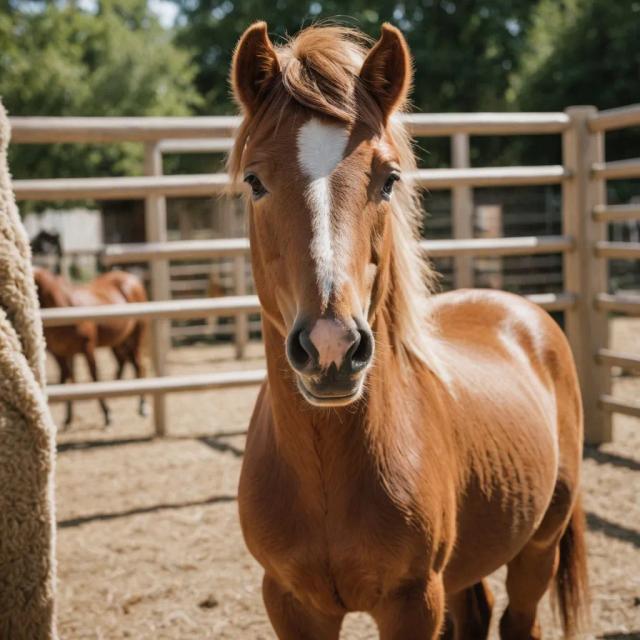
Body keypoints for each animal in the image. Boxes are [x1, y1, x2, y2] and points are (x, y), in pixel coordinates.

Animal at [33, 267, 148, 427]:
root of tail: (132, 278)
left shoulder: (87, 347)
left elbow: (94, 377)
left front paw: (107, 414)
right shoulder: (60, 353)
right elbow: (68, 380)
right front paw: (68, 418)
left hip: (136, 336)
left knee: (138, 365)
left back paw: (142, 406)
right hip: (119, 341)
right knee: (124, 361)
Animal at [230, 23, 588, 639]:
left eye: (388, 179)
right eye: (255, 180)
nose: (331, 347)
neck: (325, 473)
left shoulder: (413, 601)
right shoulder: (289, 602)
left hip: (537, 549)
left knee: (519, 619)